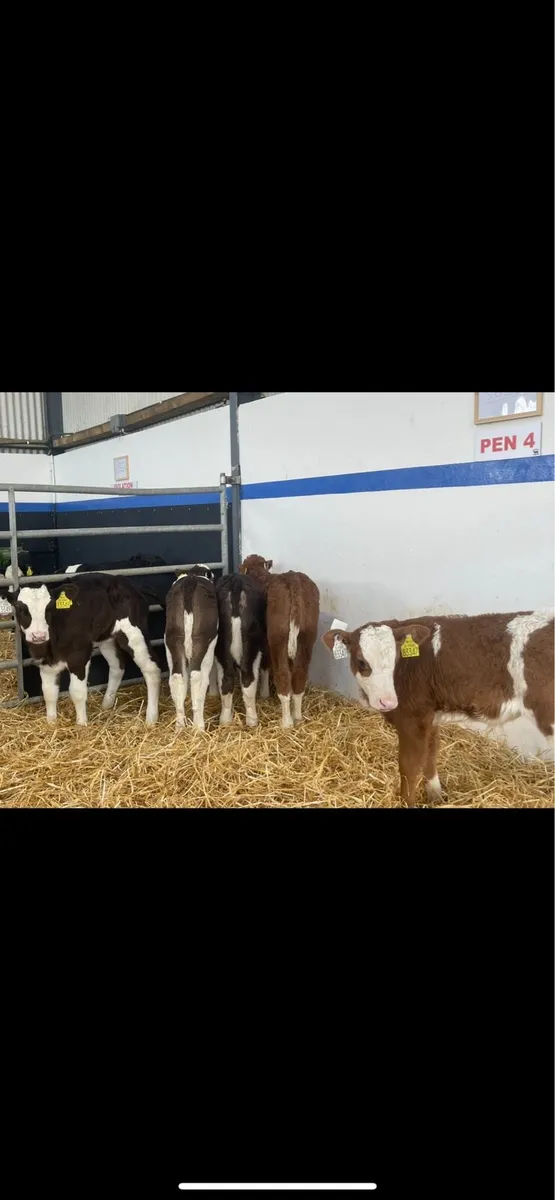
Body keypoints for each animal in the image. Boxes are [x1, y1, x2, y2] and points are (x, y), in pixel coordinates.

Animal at [2, 574, 162, 726]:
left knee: (152, 668)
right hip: (106, 638)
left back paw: (151, 719)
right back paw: (106, 705)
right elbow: (49, 693)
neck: (51, 646)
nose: (38, 635)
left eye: (49, 608)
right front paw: (51, 723)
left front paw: (81, 724)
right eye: (20, 607)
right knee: (118, 666)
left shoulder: (79, 656)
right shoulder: (45, 663)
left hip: (135, 633)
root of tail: (132, 585)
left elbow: (77, 692)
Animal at [164, 565, 218, 731]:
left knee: (176, 677)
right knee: (198, 677)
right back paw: (199, 727)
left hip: (172, 640)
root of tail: (190, 580)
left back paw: (180, 726)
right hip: (202, 641)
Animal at [215, 573, 269, 728]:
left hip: (221, 649)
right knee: (248, 678)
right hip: (254, 647)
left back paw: (225, 720)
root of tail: (235, 581)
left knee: (226, 680)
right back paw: (252, 720)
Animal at [239, 555, 320, 729]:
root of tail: (293, 581)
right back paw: (297, 716)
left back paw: (287, 722)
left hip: (278, 637)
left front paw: (264, 693)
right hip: (308, 635)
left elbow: (265, 665)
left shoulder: (265, 640)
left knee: (283, 674)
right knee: (299, 674)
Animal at [322, 609, 555, 806]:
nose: (387, 702)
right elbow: (431, 754)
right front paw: (435, 795)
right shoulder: (430, 715)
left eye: (396, 659)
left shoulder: (412, 717)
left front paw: (408, 802)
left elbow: (409, 766)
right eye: (362, 662)